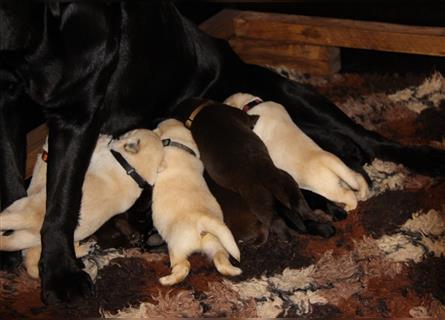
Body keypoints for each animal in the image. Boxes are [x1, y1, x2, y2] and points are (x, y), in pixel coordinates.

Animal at [0, 129, 165, 278]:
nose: (110, 136)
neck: (133, 171)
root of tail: (30, 220)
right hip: (25, 237)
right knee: (11, 247)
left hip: (20, 212)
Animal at [153, 119, 243, 286]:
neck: (180, 145)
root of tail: (203, 220)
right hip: (216, 244)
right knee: (220, 259)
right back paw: (233, 271)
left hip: (176, 248)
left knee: (183, 267)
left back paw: (166, 280)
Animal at [173, 97, 332, 240]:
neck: (200, 110)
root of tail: (266, 177)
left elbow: (249, 117)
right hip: (285, 186)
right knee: (298, 209)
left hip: (262, 199)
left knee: (277, 220)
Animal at [225, 92, 368, 211]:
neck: (250, 105)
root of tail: (328, 161)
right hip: (344, 176)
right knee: (357, 178)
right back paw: (362, 193)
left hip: (329, 188)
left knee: (348, 195)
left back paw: (350, 206)